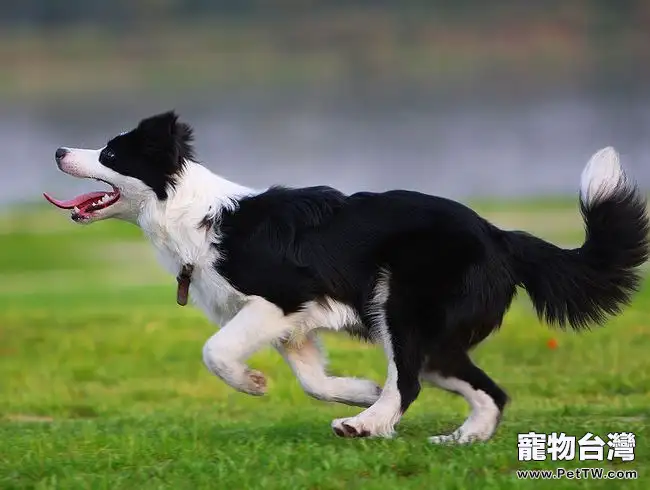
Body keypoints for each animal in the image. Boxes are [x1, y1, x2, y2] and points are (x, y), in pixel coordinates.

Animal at [43, 112, 644, 444]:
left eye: (110, 153)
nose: (58, 149)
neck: (191, 215)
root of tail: (501, 235)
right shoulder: (293, 325)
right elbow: (313, 380)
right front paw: (356, 391)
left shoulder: (281, 297)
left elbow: (215, 351)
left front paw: (253, 383)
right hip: (432, 337)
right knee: (482, 389)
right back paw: (458, 438)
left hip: (400, 308)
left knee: (411, 381)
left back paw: (369, 427)